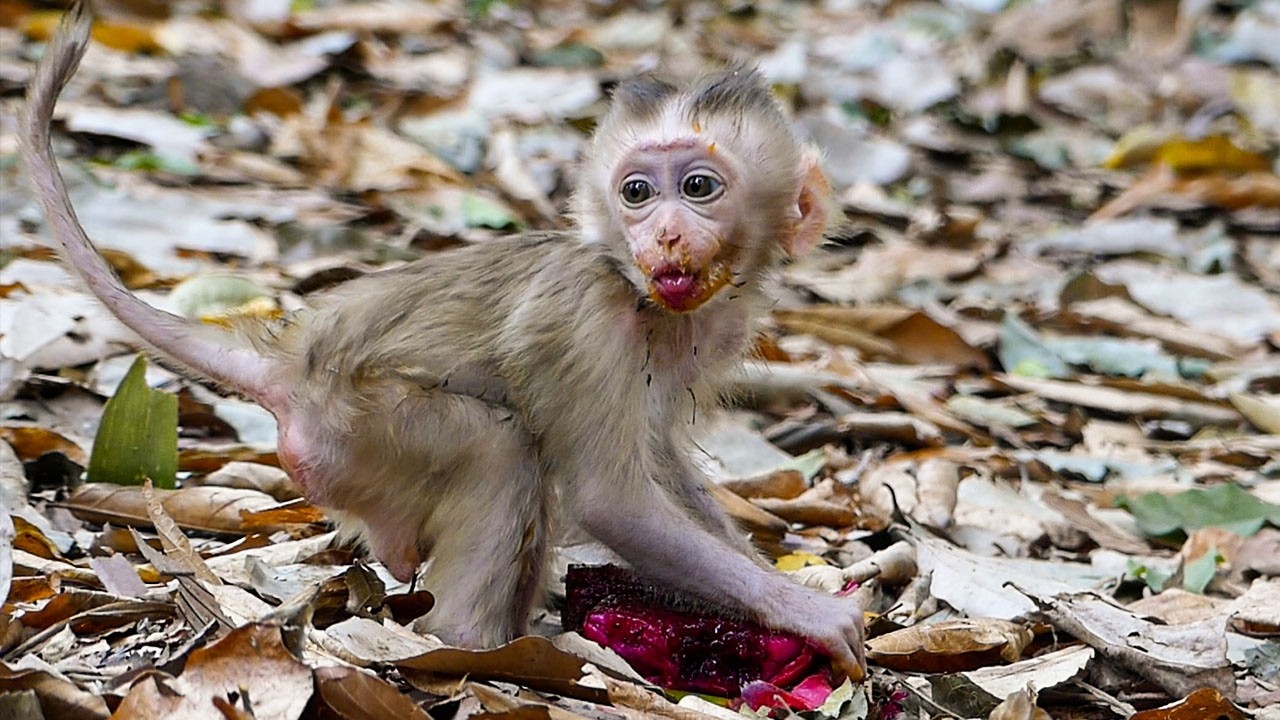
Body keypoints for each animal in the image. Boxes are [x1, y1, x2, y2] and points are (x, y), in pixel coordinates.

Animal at [21, 5, 865, 679]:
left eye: (697, 187)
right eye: (636, 191)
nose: (660, 233)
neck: (640, 293)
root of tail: (291, 365)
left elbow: (661, 464)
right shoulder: (588, 316)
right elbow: (613, 498)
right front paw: (810, 615)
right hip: (354, 436)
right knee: (501, 451)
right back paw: (471, 645)